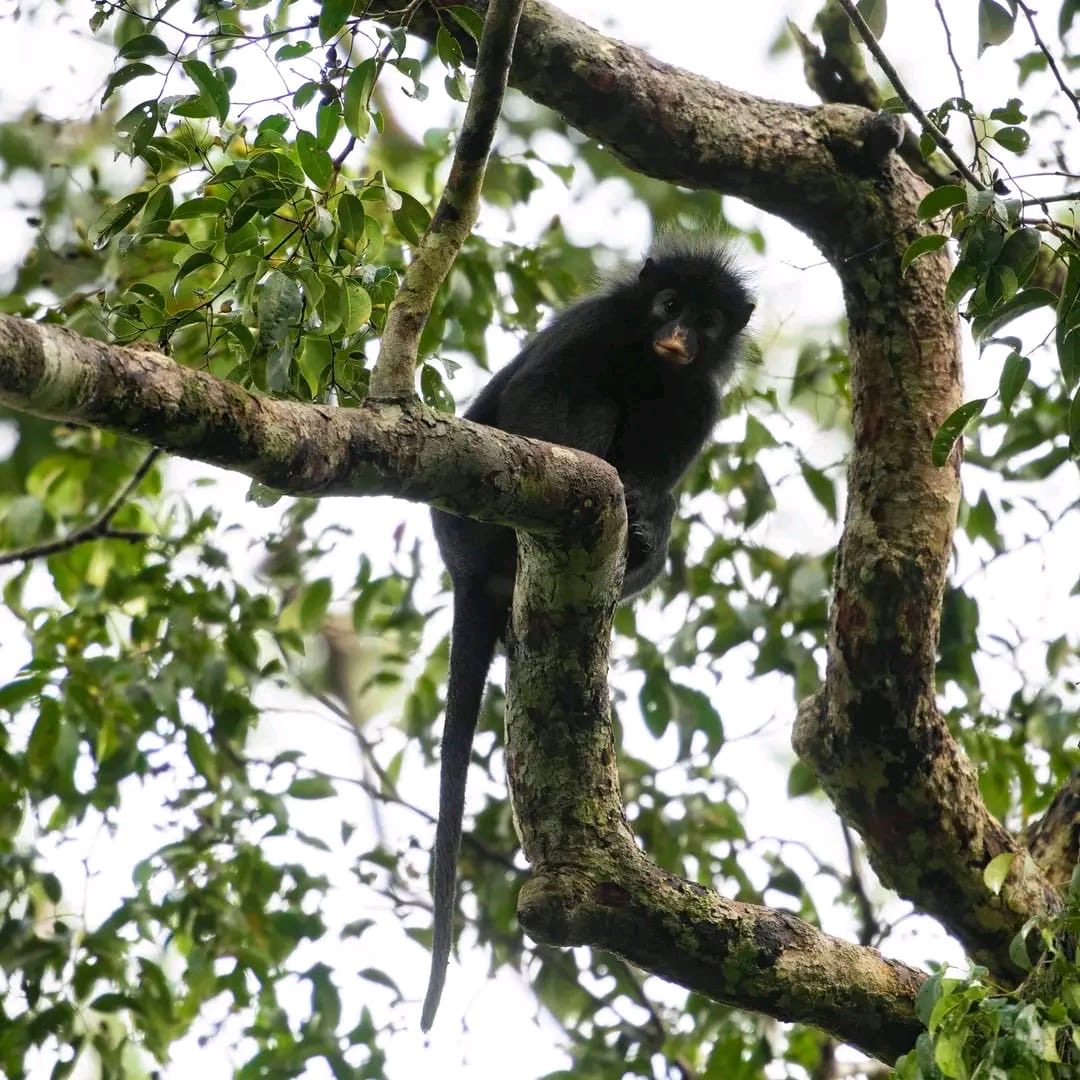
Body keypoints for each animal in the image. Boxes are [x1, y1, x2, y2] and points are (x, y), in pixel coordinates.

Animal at [421, 236, 754, 1031]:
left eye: (707, 320)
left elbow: (667, 467)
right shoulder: (592, 324)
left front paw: (648, 511)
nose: (679, 334)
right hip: (471, 528)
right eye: (669, 303)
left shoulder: (701, 396)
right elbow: (540, 395)